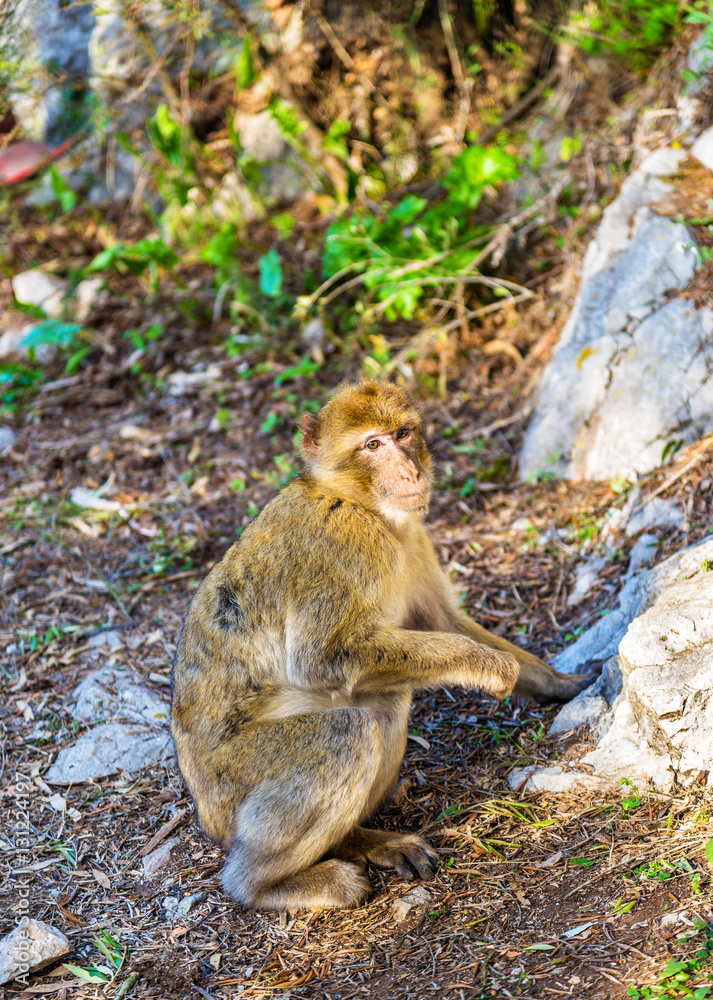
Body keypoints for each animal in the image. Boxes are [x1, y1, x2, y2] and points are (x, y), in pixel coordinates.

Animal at [170, 378, 592, 912]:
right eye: (372, 445)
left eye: (402, 433)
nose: (409, 468)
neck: (362, 505)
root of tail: (203, 810)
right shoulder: (340, 544)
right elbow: (319, 659)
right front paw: (489, 666)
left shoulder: (415, 541)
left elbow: (447, 621)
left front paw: (561, 683)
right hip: (236, 778)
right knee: (348, 730)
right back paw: (269, 884)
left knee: (386, 702)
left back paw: (362, 841)